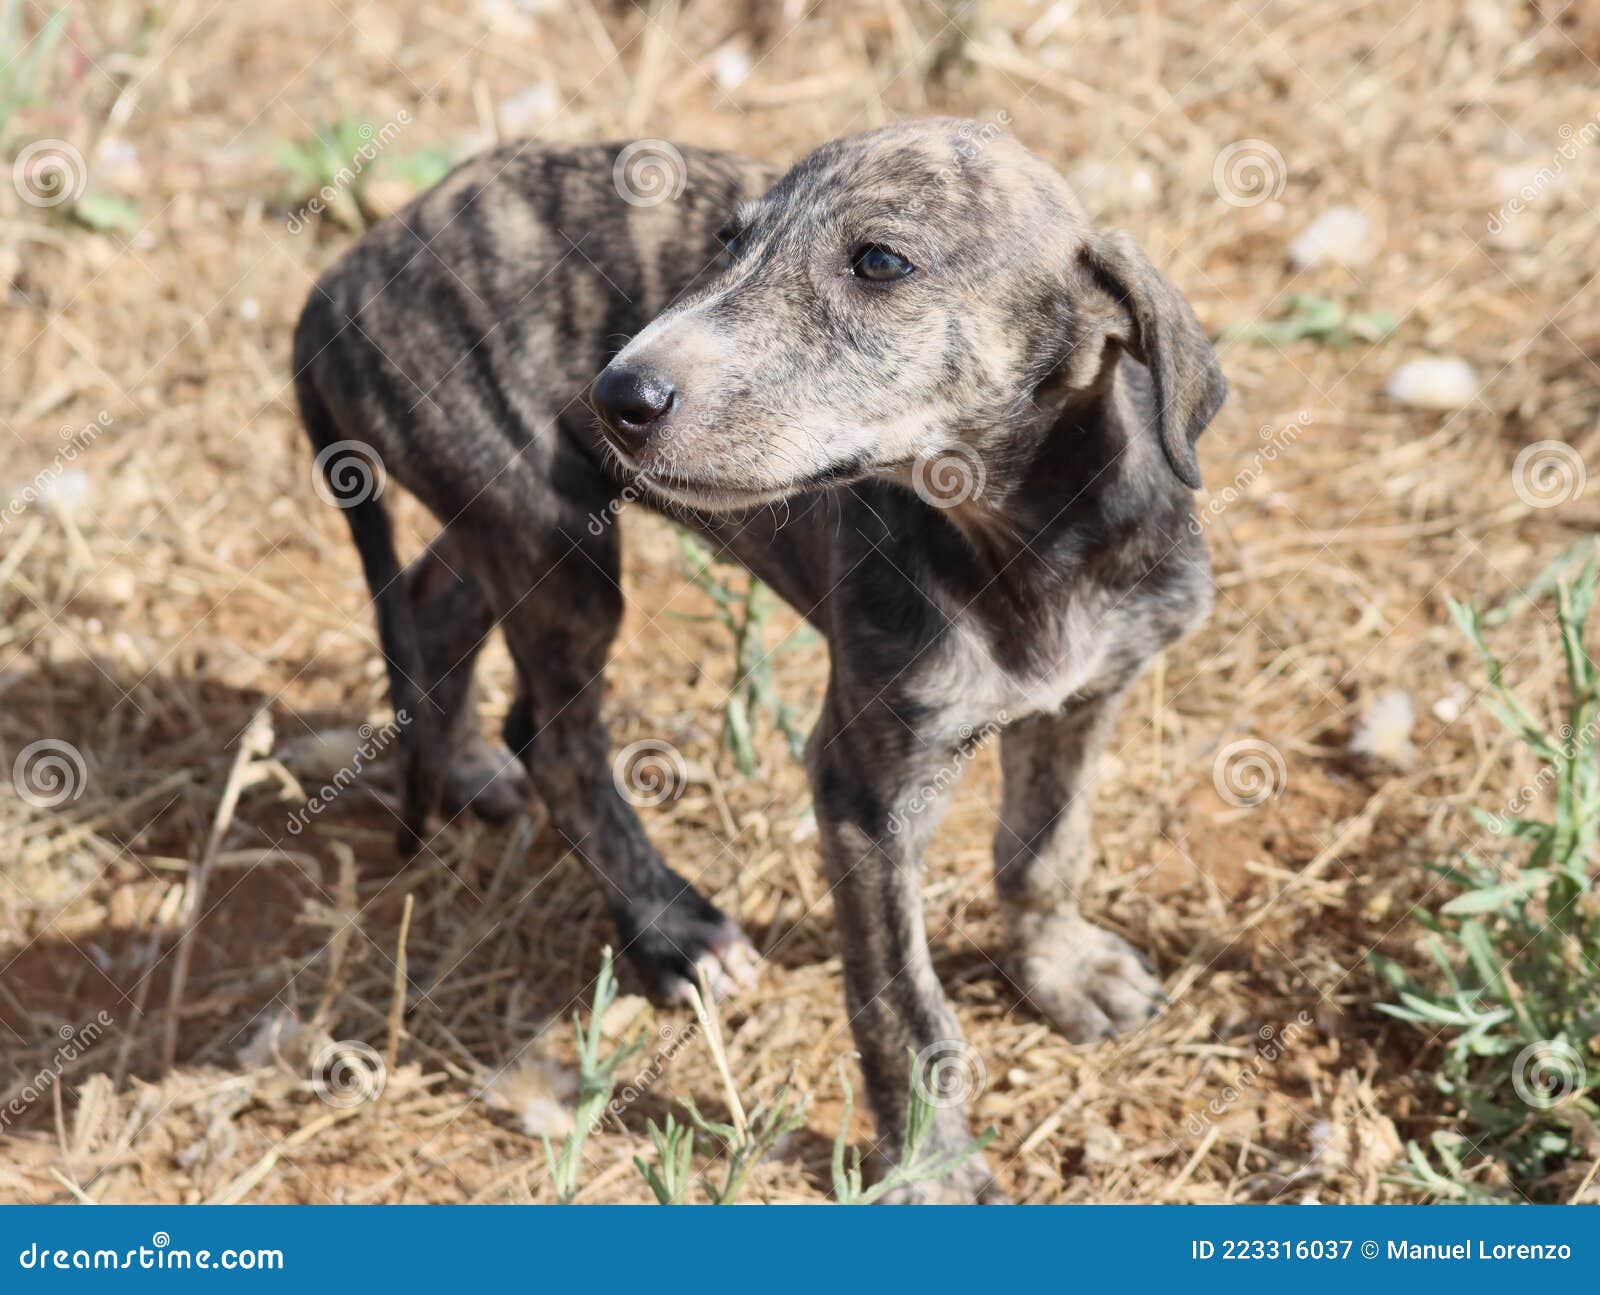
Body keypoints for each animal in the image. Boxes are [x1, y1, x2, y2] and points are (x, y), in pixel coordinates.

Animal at [297, 116, 1222, 1197]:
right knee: (556, 738)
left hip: (519, 526)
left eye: (878, 261)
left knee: (439, 608)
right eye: (728, 242)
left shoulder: (1087, 694)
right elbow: (901, 1003)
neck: (1025, 537)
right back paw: (673, 929)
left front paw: (1059, 969)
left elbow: (1045, 851)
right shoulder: (864, 788)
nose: (616, 393)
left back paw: (462, 768)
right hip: (552, 535)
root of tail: (349, 268)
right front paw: (928, 1162)